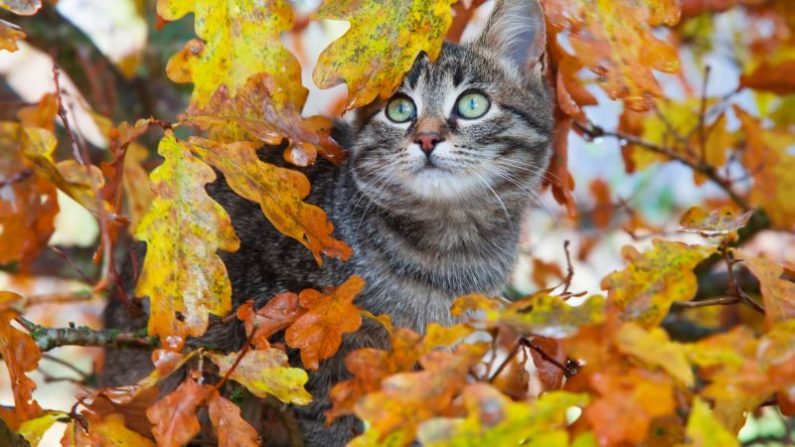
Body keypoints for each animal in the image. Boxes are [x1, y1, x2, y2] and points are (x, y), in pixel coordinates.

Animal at [101, 0, 552, 444]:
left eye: (473, 104)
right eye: (400, 109)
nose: (426, 138)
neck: (446, 250)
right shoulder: (296, 339)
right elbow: (327, 419)